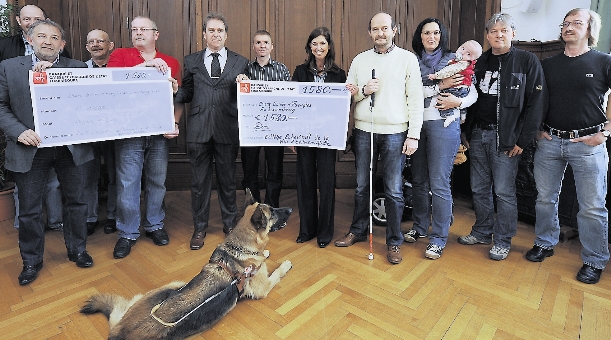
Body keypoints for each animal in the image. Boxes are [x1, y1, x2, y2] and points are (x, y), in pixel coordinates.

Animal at [81, 191, 294, 340]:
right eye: (273, 212)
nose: (291, 210)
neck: (239, 246)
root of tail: (118, 334)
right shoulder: (263, 288)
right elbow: (276, 272)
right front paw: (283, 263)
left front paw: (265, 253)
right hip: (176, 283)